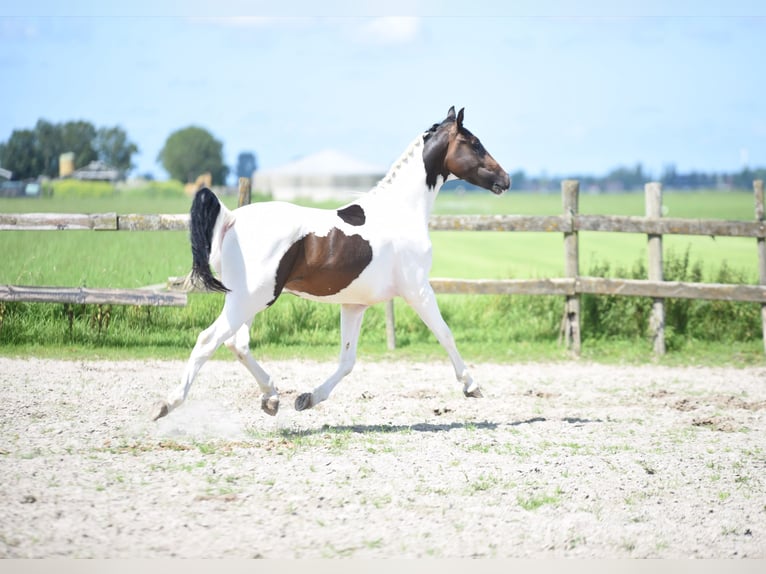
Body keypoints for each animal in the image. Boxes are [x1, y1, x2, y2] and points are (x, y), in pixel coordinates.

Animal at [152, 108, 510, 424]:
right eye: (474, 143)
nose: (505, 180)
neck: (401, 211)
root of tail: (232, 218)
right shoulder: (418, 290)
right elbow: (445, 334)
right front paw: (472, 386)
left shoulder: (354, 305)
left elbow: (347, 360)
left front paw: (307, 399)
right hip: (250, 299)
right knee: (208, 340)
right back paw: (167, 404)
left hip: (247, 300)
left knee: (237, 344)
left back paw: (272, 398)